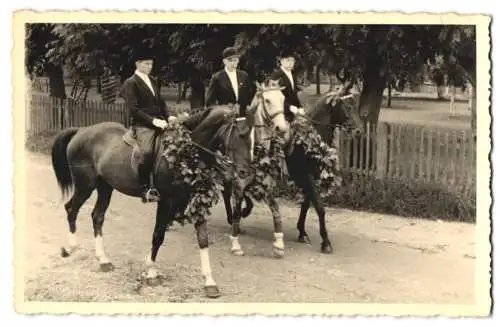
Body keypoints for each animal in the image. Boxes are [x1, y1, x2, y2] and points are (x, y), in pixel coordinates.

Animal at [51, 105, 254, 300]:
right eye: (240, 135)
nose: (245, 173)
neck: (186, 152)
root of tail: (81, 130)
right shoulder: (166, 202)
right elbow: (158, 236)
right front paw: (151, 272)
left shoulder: (196, 201)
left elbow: (203, 239)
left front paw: (210, 282)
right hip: (85, 185)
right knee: (71, 209)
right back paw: (70, 248)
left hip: (105, 187)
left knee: (97, 216)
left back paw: (103, 260)